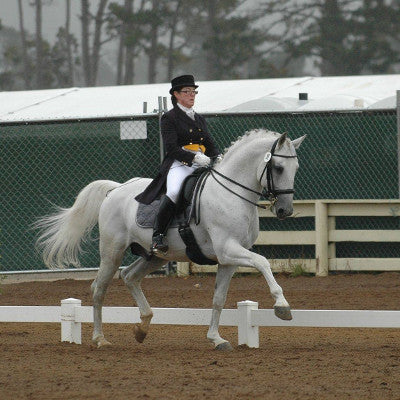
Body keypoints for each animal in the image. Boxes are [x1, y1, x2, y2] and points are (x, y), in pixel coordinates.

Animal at [36, 129, 306, 350]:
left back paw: (142, 328)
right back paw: (100, 339)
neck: (231, 194)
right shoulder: (228, 249)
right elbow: (263, 262)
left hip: (155, 255)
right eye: (278, 168)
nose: (285, 210)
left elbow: (219, 299)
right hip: (112, 252)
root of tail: (116, 189)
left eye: (296, 169)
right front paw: (282, 306)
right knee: (99, 288)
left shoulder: (228, 260)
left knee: (130, 276)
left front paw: (216, 339)